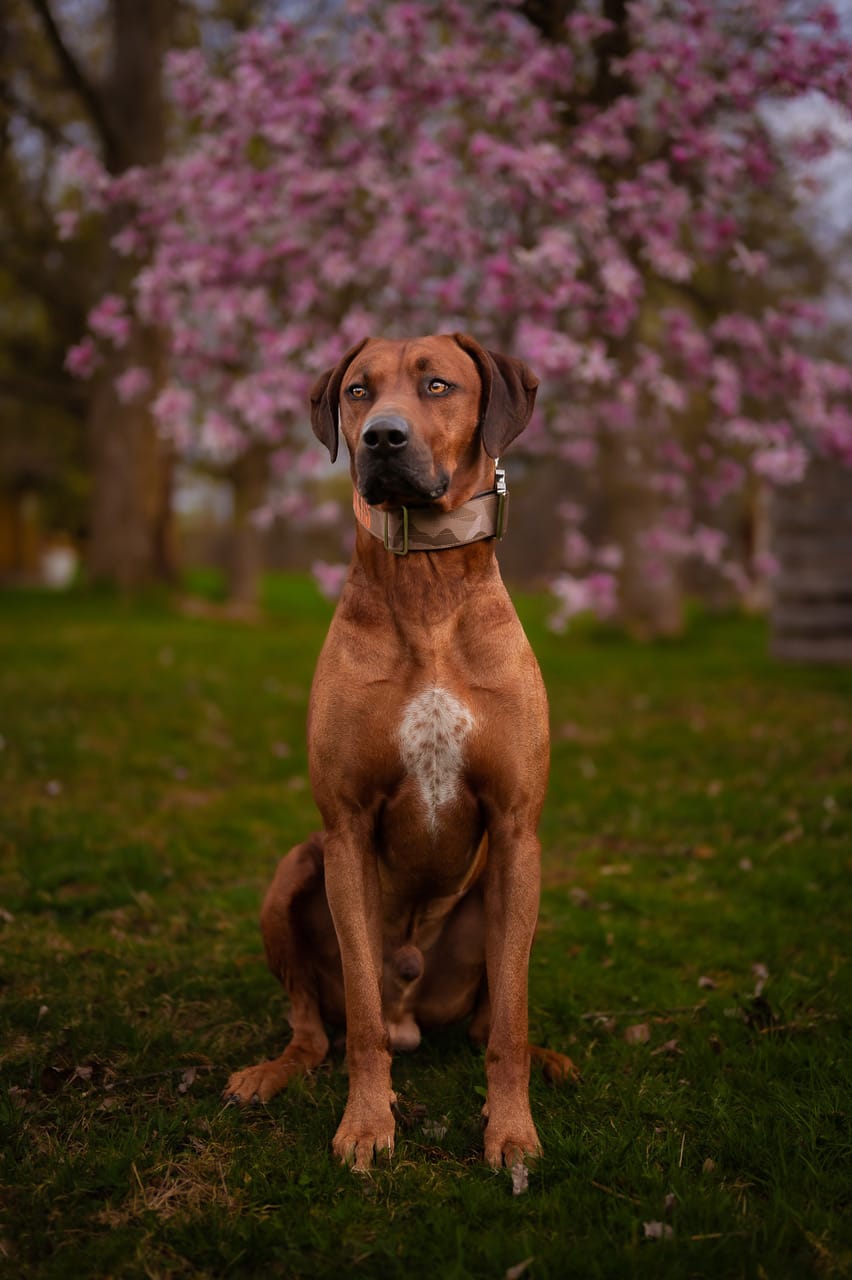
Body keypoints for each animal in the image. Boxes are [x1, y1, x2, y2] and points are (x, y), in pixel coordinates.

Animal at [223, 337, 578, 1172]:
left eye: (437, 385)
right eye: (357, 391)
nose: (383, 437)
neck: (428, 583)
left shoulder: (517, 828)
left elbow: (510, 1019)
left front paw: (512, 1130)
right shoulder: (346, 830)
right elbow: (358, 1013)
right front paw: (366, 1123)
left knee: (487, 1020)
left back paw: (546, 1061)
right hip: (294, 871)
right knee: (317, 1029)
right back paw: (272, 1072)